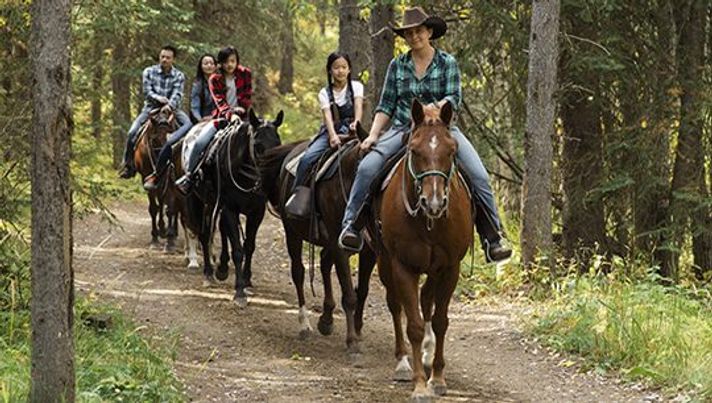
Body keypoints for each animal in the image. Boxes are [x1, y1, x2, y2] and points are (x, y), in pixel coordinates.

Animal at [184, 109, 284, 308]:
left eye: (278, 144)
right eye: (258, 145)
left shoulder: (256, 212)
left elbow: (249, 246)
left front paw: (246, 280)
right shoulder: (230, 209)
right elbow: (237, 249)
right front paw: (239, 292)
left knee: (219, 232)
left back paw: (221, 268)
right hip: (199, 201)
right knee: (204, 233)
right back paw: (208, 273)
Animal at [372, 100, 472, 400]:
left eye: (452, 150)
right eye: (415, 150)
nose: (434, 202)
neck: (430, 222)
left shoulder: (450, 267)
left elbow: (439, 321)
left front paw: (437, 378)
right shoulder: (403, 266)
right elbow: (414, 324)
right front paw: (419, 384)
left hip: (435, 268)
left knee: (427, 299)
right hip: (385, 262)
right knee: (396, 306)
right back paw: (403, 363)